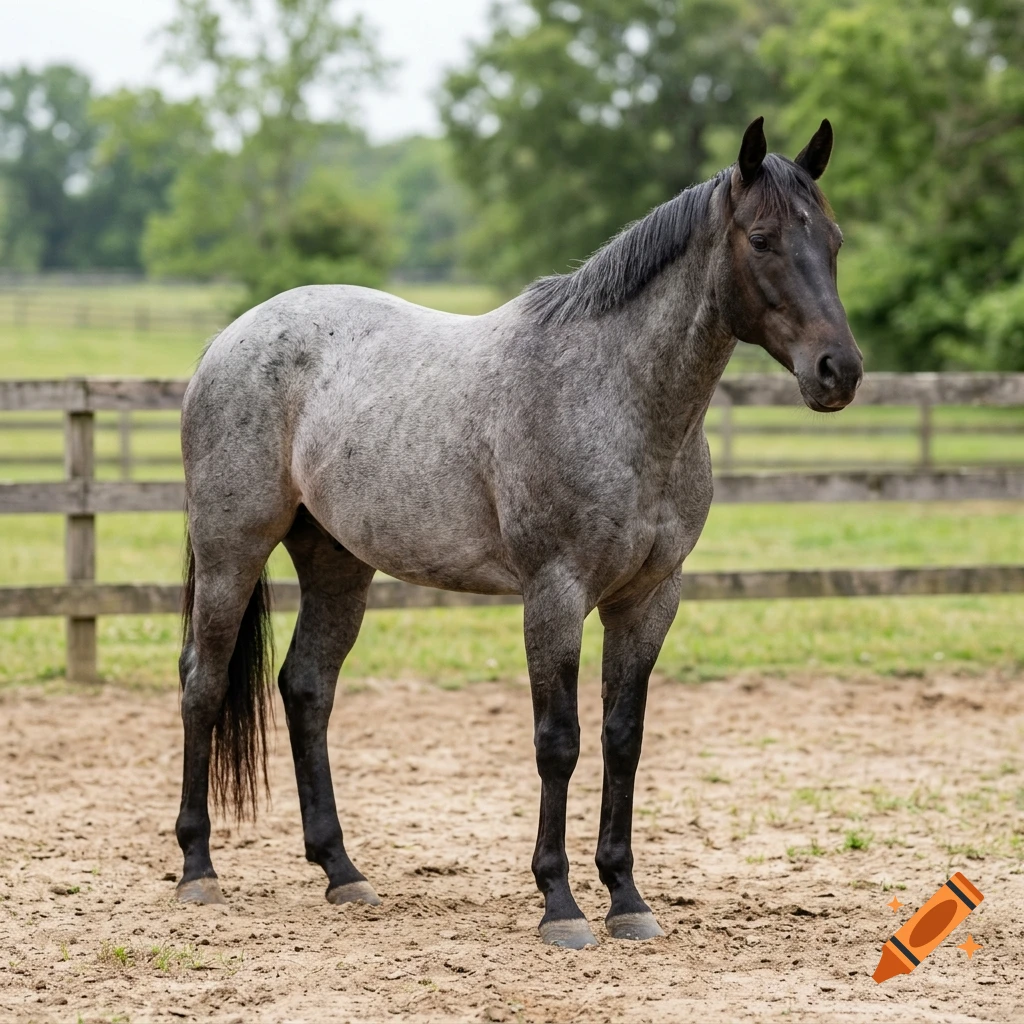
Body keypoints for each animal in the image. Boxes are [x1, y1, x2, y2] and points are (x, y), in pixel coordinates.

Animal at [174, 116, 862, 948]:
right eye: (761, 239)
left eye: (832, 238)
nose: (838, 370)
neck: (616, 397)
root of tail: (231, 339)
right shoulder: (555, 594)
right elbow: (558, 741)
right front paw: (560, 904)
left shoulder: (649, 599)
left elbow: (622, 737)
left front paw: (627, 898)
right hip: (231, 549)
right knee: (203, 684)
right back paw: (198, 870)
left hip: (337, 563)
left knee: (307, 688)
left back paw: (343, 872)